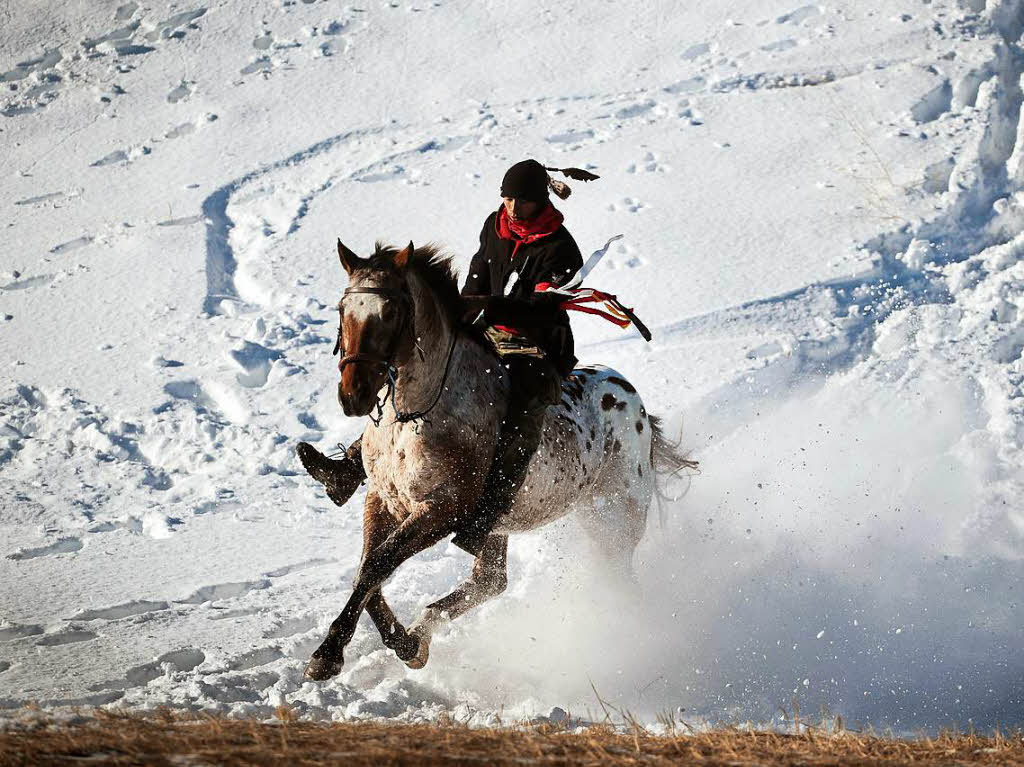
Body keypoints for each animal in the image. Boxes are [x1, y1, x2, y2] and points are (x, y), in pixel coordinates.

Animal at [299, 240, 692, 684]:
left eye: (391, 312)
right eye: (342, 308)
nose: (354, 394)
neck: (418, 415)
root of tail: (636, 405)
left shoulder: (443, 509)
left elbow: (377, 565)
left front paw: (329, 654)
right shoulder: (383, 501)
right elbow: (370, 569)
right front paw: (402, 643)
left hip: (615, 517)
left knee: (613, 579)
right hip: (499, 525)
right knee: (490, 581)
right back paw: (420, 631)